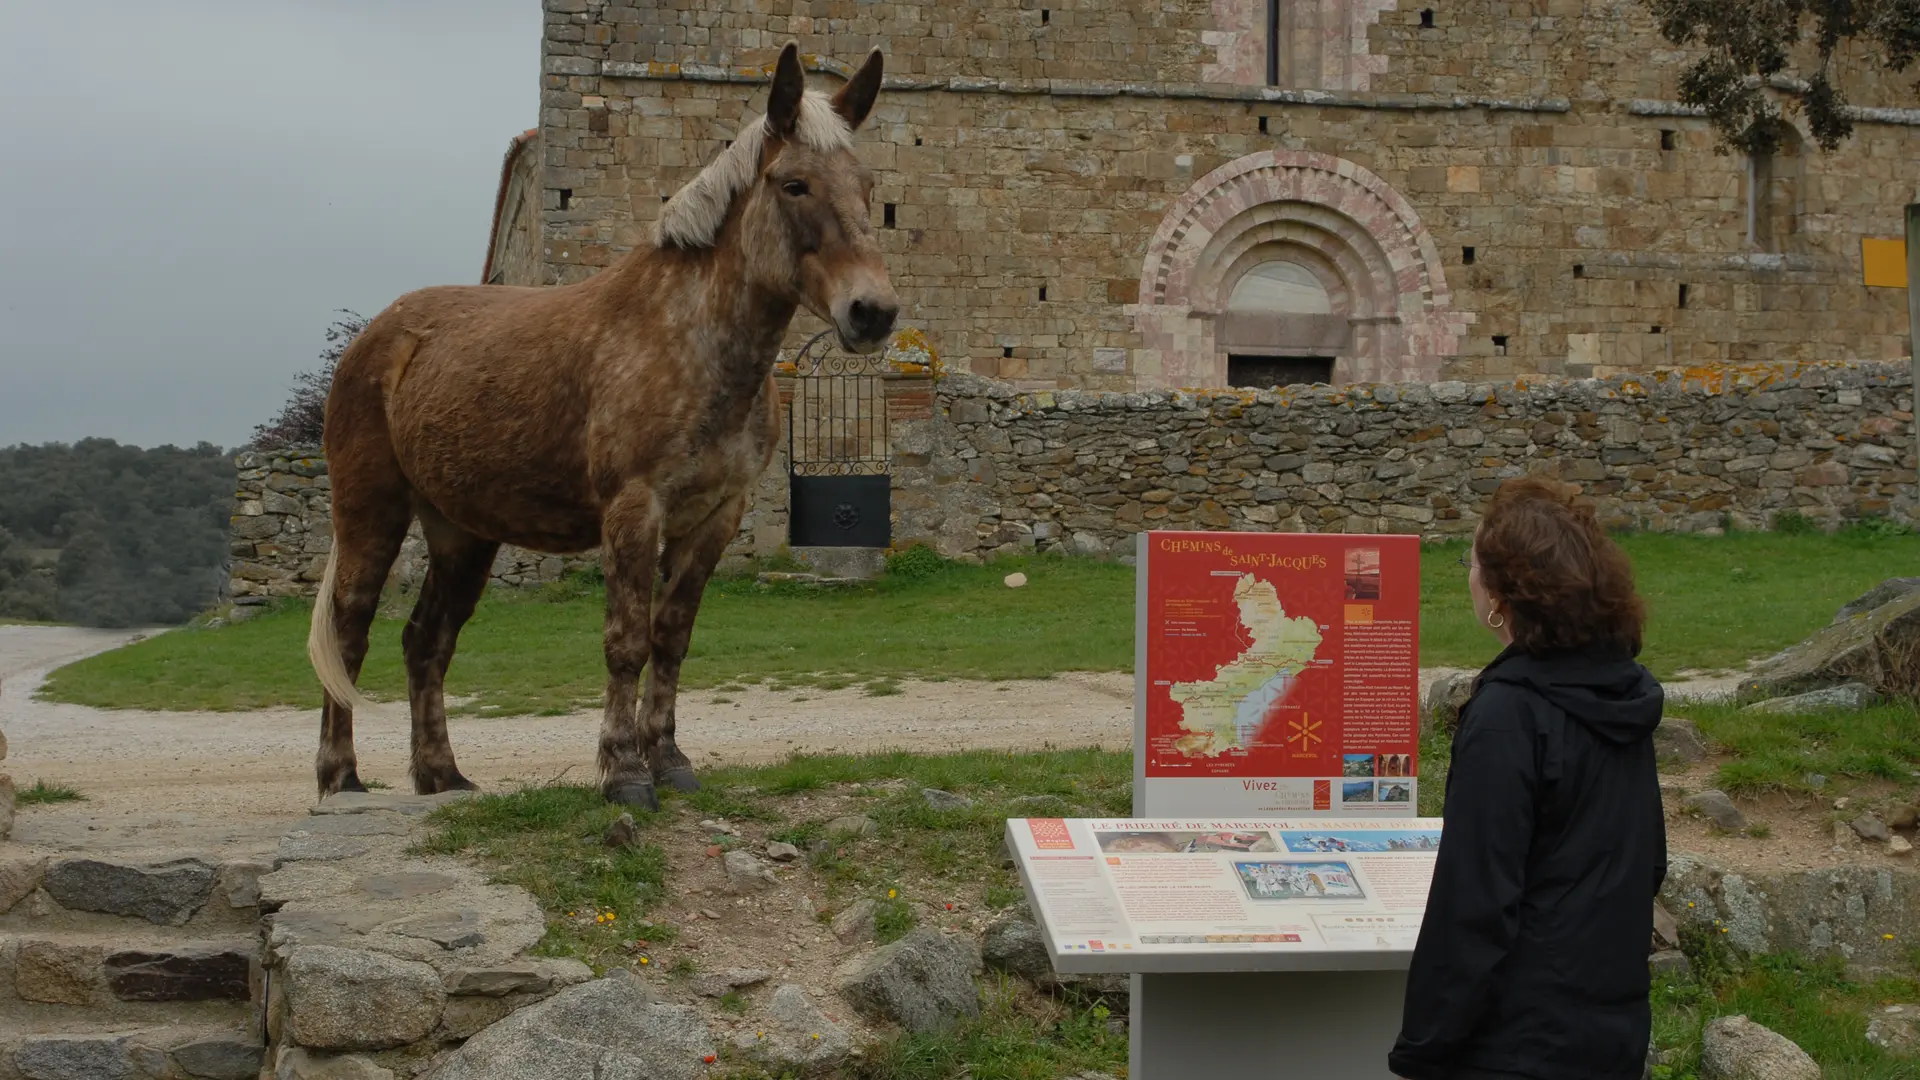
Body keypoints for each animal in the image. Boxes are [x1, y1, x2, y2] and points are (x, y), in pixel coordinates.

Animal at [305, 44, 897, 810]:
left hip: (462, 533)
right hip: (370, 511)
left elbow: (670, 639)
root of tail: (376, 337)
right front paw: (623, 773)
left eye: (869, 186)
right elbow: (626, 642)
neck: (686, 337)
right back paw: (341, 778)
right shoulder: (634, 509)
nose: (872, 312)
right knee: (349, 634)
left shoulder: (714, 516)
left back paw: (442, 776)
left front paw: (669, 761)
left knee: (425, 641)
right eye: (794, 184)